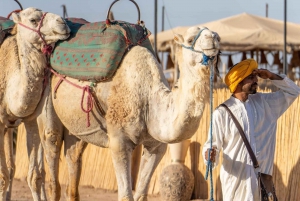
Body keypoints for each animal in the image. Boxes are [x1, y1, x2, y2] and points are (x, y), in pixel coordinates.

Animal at [50, 25, 220, 201]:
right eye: (189, 39)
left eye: (216, 36)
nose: (213, 38)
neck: (148, 97)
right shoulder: (119, 141)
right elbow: (126, 196)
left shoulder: (157, 146)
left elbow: (141, 195)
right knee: (51, 147)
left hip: (79, 126)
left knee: (73, 157)